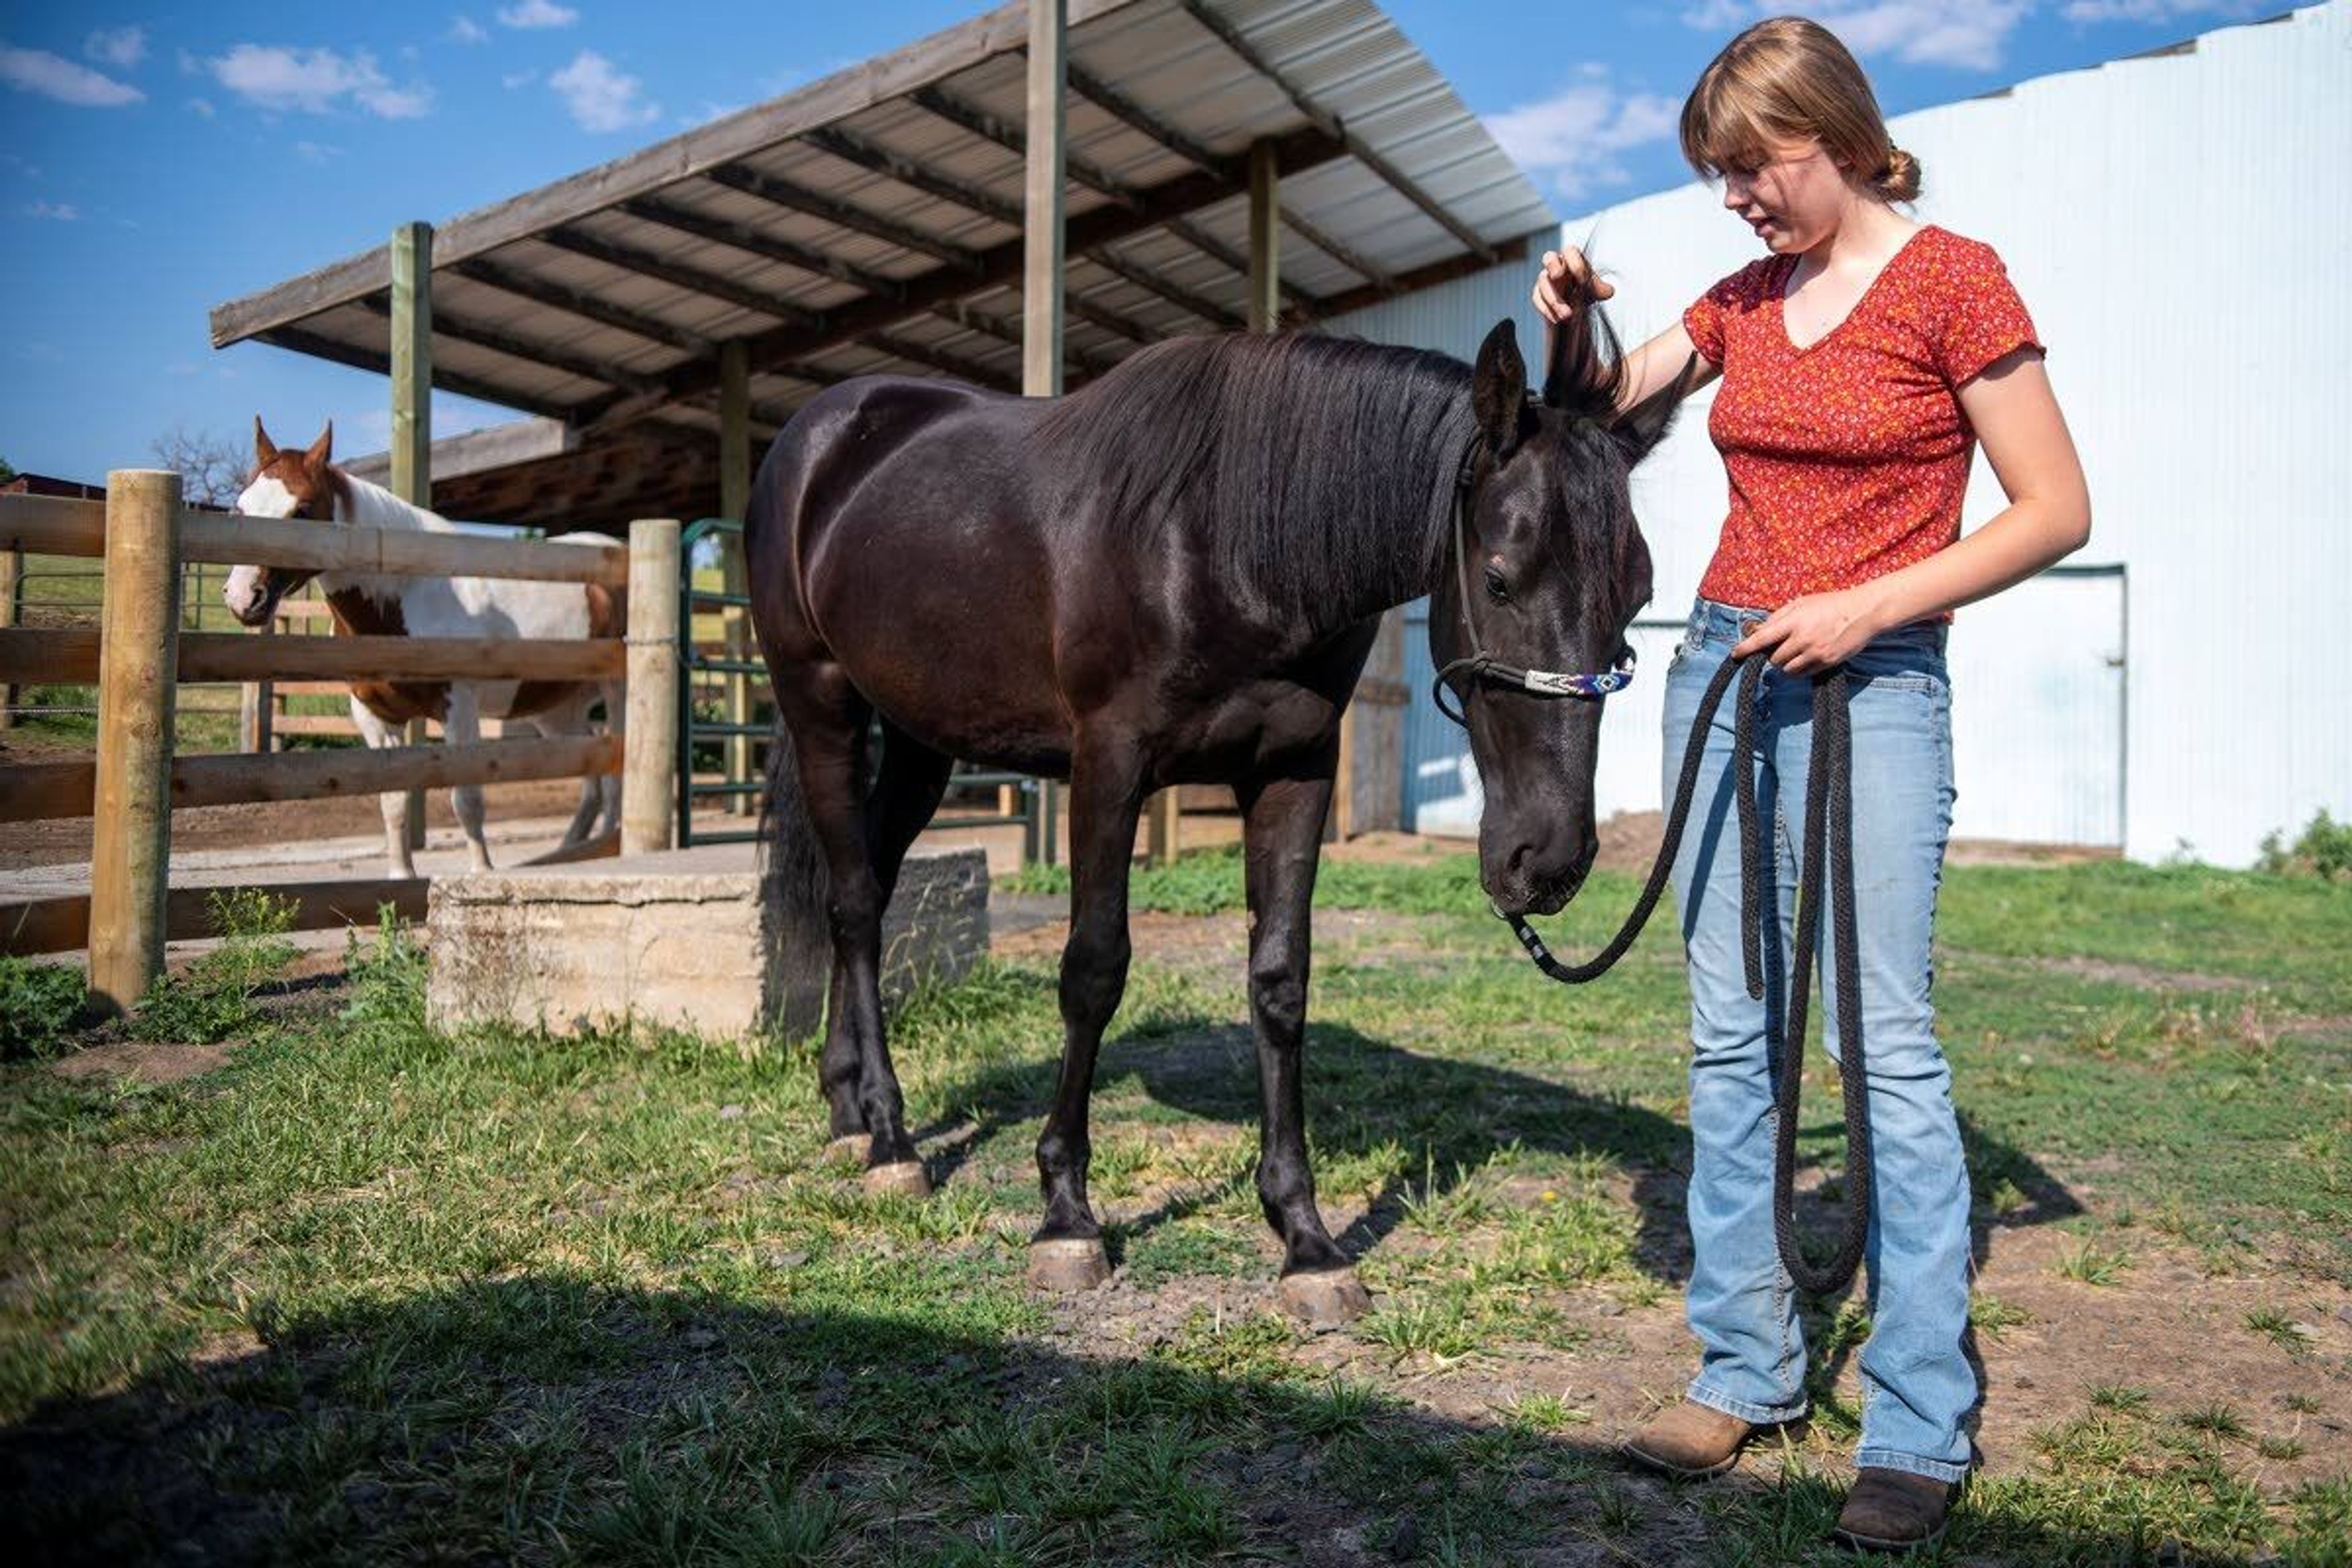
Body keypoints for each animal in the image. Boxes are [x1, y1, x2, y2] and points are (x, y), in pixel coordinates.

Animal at [220, 423, 620, 879]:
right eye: (239, 507)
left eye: (302, 510)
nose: (242, 597)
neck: (409, 592)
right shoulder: (377, 716)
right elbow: (393, 800)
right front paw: (401, 876)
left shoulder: (458, 707)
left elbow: (467, 801)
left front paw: (481, 873)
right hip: (555, 710)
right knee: (592, 770)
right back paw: (574, 848)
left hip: (616, 692)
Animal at [743, 285, 1684, 1325]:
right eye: (1500, 577)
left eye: (1638, 593)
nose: (1547, 862)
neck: (1220, 540)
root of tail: (821, 433)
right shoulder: (1108, 766)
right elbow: (1094, 970)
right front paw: (1066, 1216)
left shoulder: (1294, 770)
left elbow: (1280, 981)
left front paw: (1305, 1239)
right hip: (820, 702)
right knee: (853, 902)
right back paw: (893, 1141)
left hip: (920, 736)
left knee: (866, 883)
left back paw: (849, 1107)